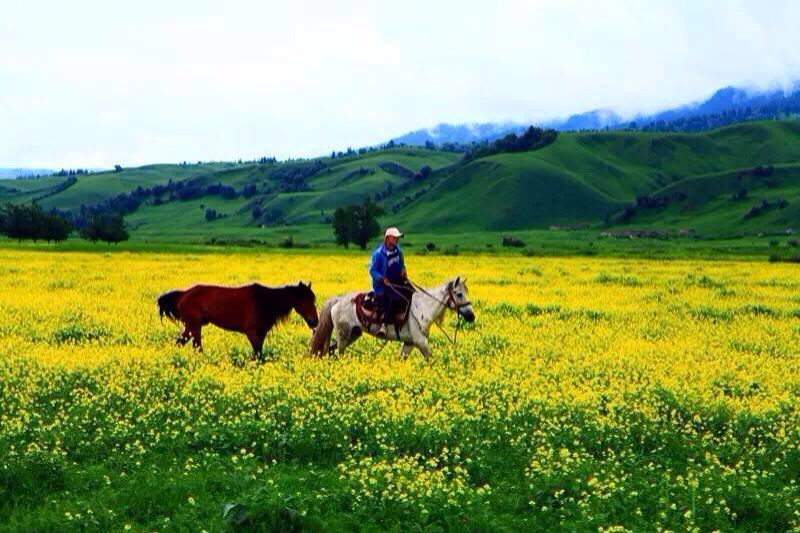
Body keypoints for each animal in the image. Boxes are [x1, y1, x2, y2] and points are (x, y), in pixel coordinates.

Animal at [156, 278, 318, 358]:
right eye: (306, 300)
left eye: (313, 299)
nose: (314, 321)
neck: (264, 301)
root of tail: (183, 295)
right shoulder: (251, 331)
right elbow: (257, 353)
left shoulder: (261, 333)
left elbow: (259, 353)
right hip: (194, 326)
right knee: (196, 347)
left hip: (192, 327)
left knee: (180, 342)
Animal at [308, 276, 472, 360]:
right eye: (459, 294)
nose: (471, 316)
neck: (423, 307)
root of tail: (337, 299)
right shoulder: (421, 342)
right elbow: (430, 359)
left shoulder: (409, 343)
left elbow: (401, 359)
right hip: (343, 335)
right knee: (338, 353)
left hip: (353, 334)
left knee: (330, 349)